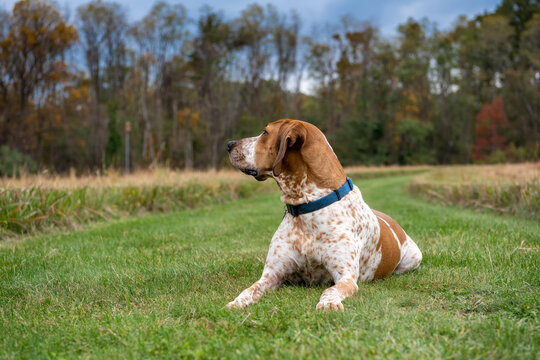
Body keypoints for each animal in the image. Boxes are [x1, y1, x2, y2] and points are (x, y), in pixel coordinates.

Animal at [226, 119, 420, 310]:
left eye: (265, 132)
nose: (229, 144)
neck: (307, 207)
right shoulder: (273, 274)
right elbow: (250, 289)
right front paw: (236, 303)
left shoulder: (345, 277)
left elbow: (330, 290)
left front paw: (328, 303)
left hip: (414, 258)